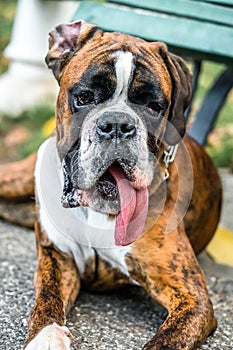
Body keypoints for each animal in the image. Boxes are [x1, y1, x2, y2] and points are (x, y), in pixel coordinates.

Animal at [3, 20, 220, 348]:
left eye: (154, 106)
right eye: (84, 97)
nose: (117, 124)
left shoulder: (192, 297)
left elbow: (167, 340)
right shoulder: (57, 259)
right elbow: (46, 300)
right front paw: (46, 337)